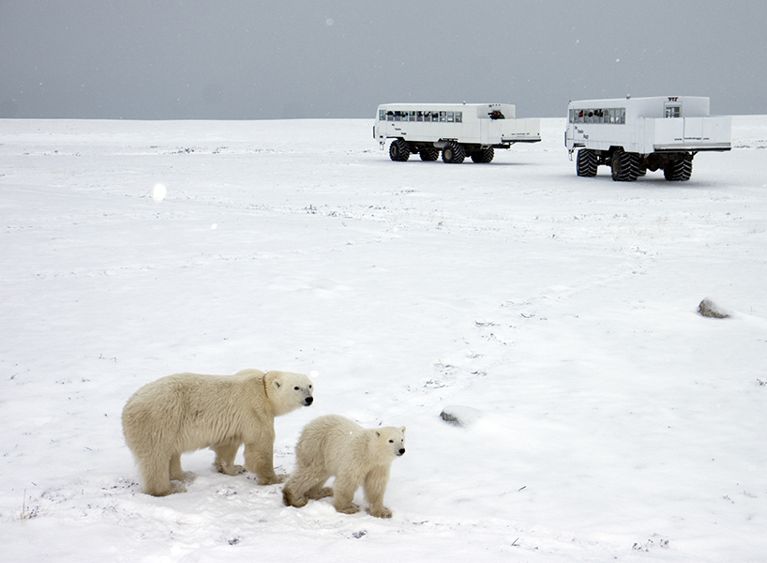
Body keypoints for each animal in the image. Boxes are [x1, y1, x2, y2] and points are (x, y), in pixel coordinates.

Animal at [122, 368, 314, 496]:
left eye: (310, 385)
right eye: (296, 387)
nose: (309, 399)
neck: (263, 388)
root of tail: (128, 407)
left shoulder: (235, 422)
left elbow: (227, 445)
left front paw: (233, 468)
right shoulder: (255, 409)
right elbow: (260, 446)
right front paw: (277, 478)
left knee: (172, 454)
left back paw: (184, 476)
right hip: (159, 421)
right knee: (156, 458)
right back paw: (170, 488)